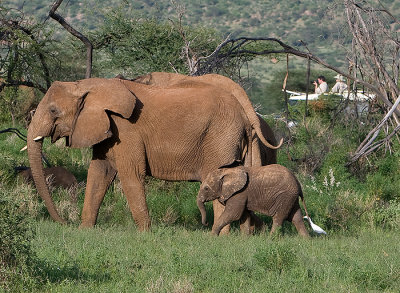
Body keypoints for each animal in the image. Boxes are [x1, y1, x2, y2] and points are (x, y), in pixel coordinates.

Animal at [26, 77, 258, 228]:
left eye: (53, 110)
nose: (65, 223)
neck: (86, 85)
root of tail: (245, 117)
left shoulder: (126, 129)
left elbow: (131, 174)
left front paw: (145, 234)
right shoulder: (107, 128)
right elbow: (99, 172)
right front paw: (86, 231)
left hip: (220, 139)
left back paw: (219, 237)